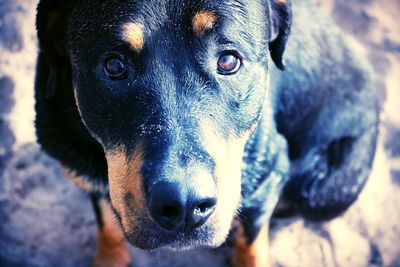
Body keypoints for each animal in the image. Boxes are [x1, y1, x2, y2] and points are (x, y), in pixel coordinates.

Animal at [33, 0, 378, 266]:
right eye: (114, 66)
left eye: (227, 60)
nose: (184, 204)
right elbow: (107, 227)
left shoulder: (269, 172)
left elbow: (252, 243)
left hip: (325, 190)